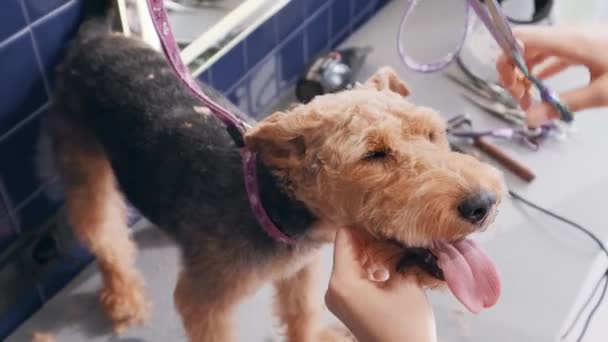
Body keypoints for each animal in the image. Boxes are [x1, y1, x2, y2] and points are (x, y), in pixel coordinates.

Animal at [46, 1, 504, 340]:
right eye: (373, 155)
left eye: (432, 133)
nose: (482, 203)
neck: (270, 202)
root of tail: (94, 38)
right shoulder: (205, 302)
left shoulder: (299, 271)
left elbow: (300, 312)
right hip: (82, 164)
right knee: (104, 236)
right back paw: (125, 300)